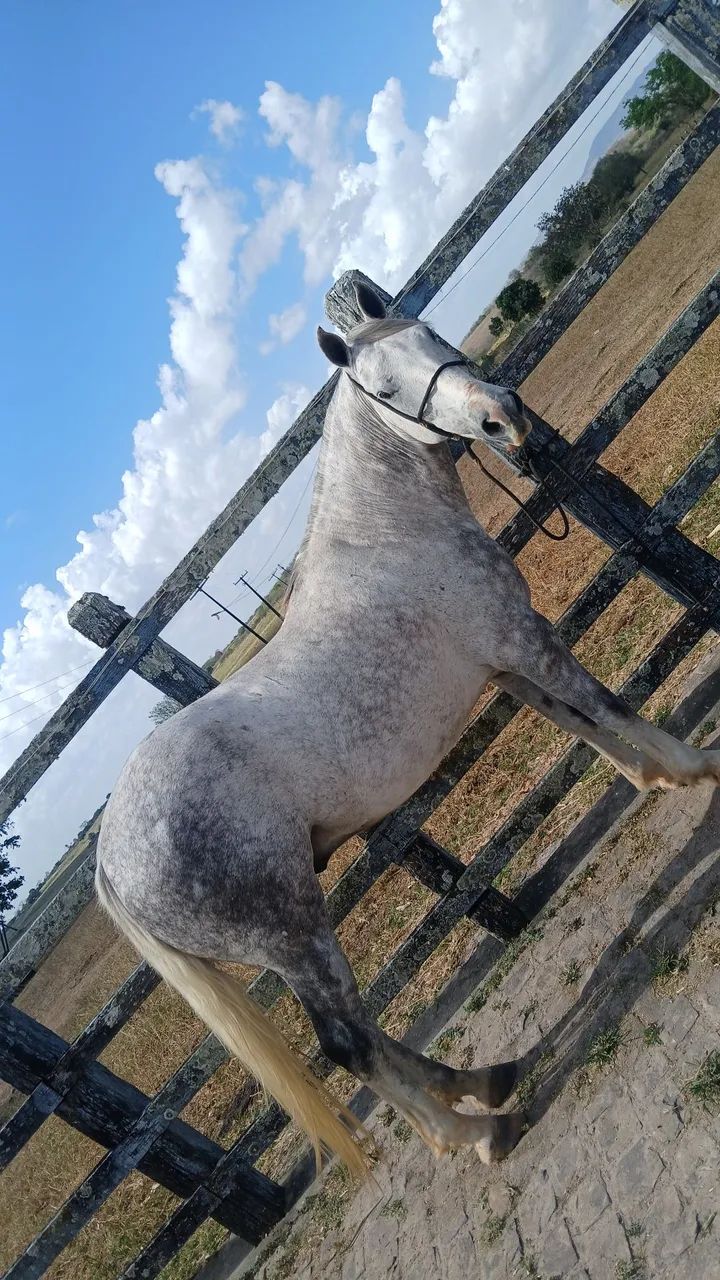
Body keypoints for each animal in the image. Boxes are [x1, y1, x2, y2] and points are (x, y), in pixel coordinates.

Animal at [97, 281, 720, 1176]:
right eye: (384, 386)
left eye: (429, 333)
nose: (500, 415)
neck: (385, 531)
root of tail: (112, 864)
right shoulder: (521, 638)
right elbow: (608, 705)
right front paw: (699, 766)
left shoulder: (501, 664)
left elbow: (577, 722)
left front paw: (655, 779)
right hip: (293, 933)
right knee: (348, 1045)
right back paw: (476, 1132)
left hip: (290, 946)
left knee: (367, 1040)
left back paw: (482, 1082)